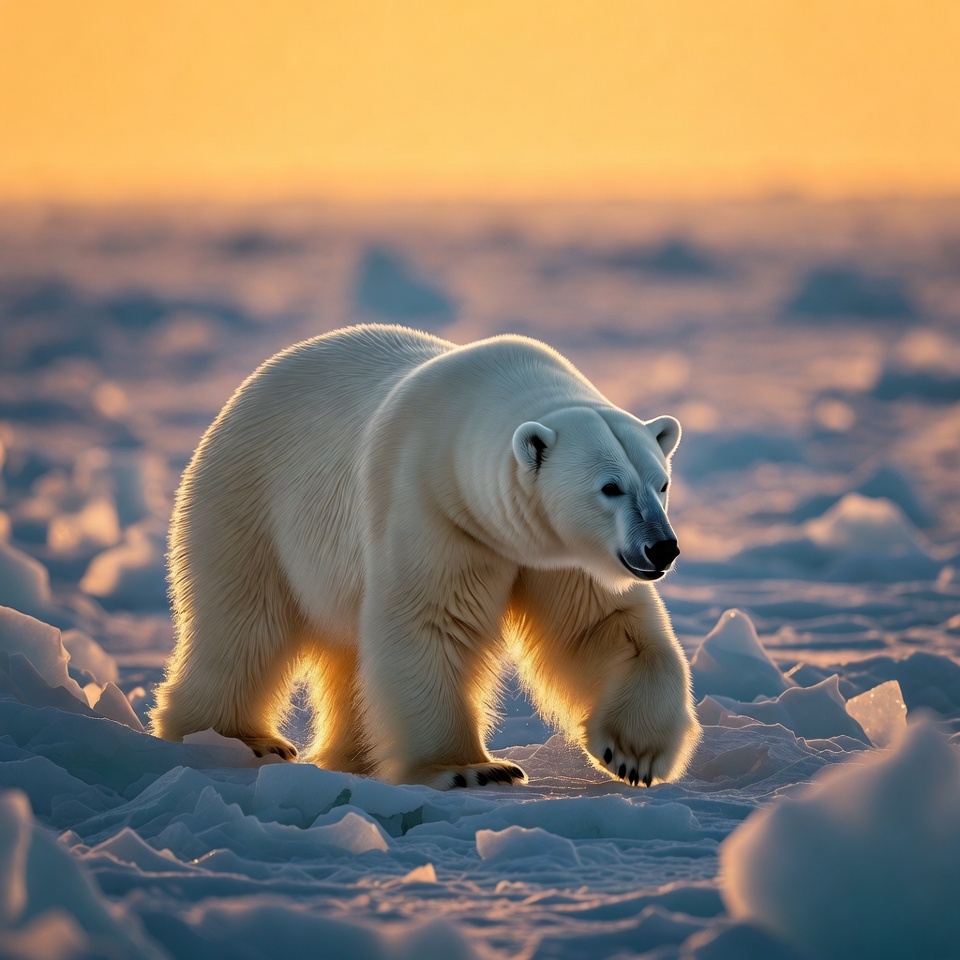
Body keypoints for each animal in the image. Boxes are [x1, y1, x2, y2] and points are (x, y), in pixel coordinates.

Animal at [150, 324, 701, 789]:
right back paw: (235, 739)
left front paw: (633, 754)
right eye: (610, 487)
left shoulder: (558, 552)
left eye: (661, 482)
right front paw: (473, 770)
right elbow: (431, 624)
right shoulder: (433, 505)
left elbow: (601, 626)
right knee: (244, 622)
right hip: (251, 499)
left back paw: (352, 755)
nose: (662, 546)